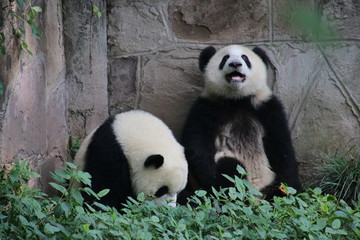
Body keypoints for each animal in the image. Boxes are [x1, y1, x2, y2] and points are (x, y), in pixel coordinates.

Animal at [181, 44, 302, 200]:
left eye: (245, 58)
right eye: (225, 58)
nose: (235, 64)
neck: (237, 99)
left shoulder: (266, 106)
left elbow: (281, 145)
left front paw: (290, 188)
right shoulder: (207, 106)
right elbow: (196, 142)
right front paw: (209, 178)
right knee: (229, 168)